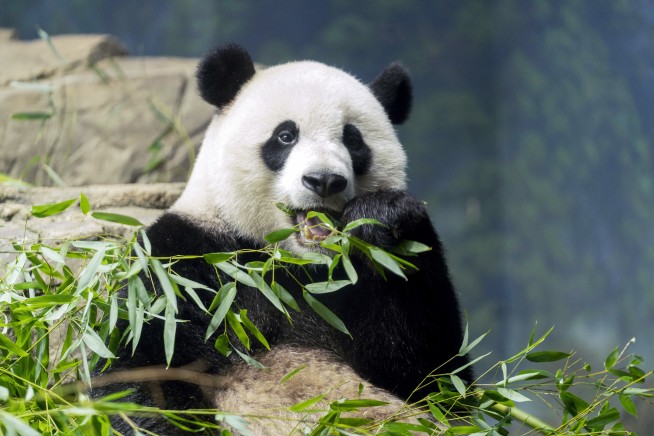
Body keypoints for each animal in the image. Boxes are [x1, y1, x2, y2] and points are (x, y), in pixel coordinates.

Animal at [93, 44, 471, 434]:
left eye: (353, 140)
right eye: (286, 136)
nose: (324, 180)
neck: (291, 260)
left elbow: (433, 376)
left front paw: (383, 217)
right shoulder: (181, 262)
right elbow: (143, 364)